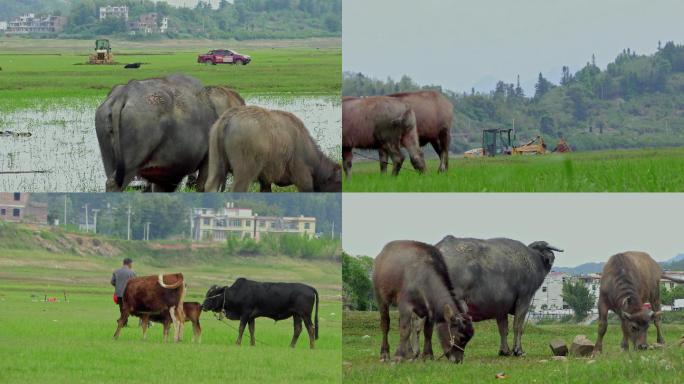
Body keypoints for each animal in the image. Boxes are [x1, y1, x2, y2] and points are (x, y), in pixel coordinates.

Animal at [95, 74, 246, 192]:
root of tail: (124, 93)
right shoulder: (207, 162)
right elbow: (203, 187)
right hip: (131, 162)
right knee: (116, 184)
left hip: (109, 159)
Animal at [204, 105, 340, 192]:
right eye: (338, 182)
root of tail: (229, 117)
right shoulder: (303, 178)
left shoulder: (265, 181)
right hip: (244, 173)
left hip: (216, 165)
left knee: (210, 186)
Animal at [416, 237, 568, 356]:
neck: (533, 260)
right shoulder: (524, 299)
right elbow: (517, 326)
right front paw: (518, 351)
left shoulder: (501, 307)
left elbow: (503, 329)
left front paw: (504, 351)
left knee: (421, 326)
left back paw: (423, 354)